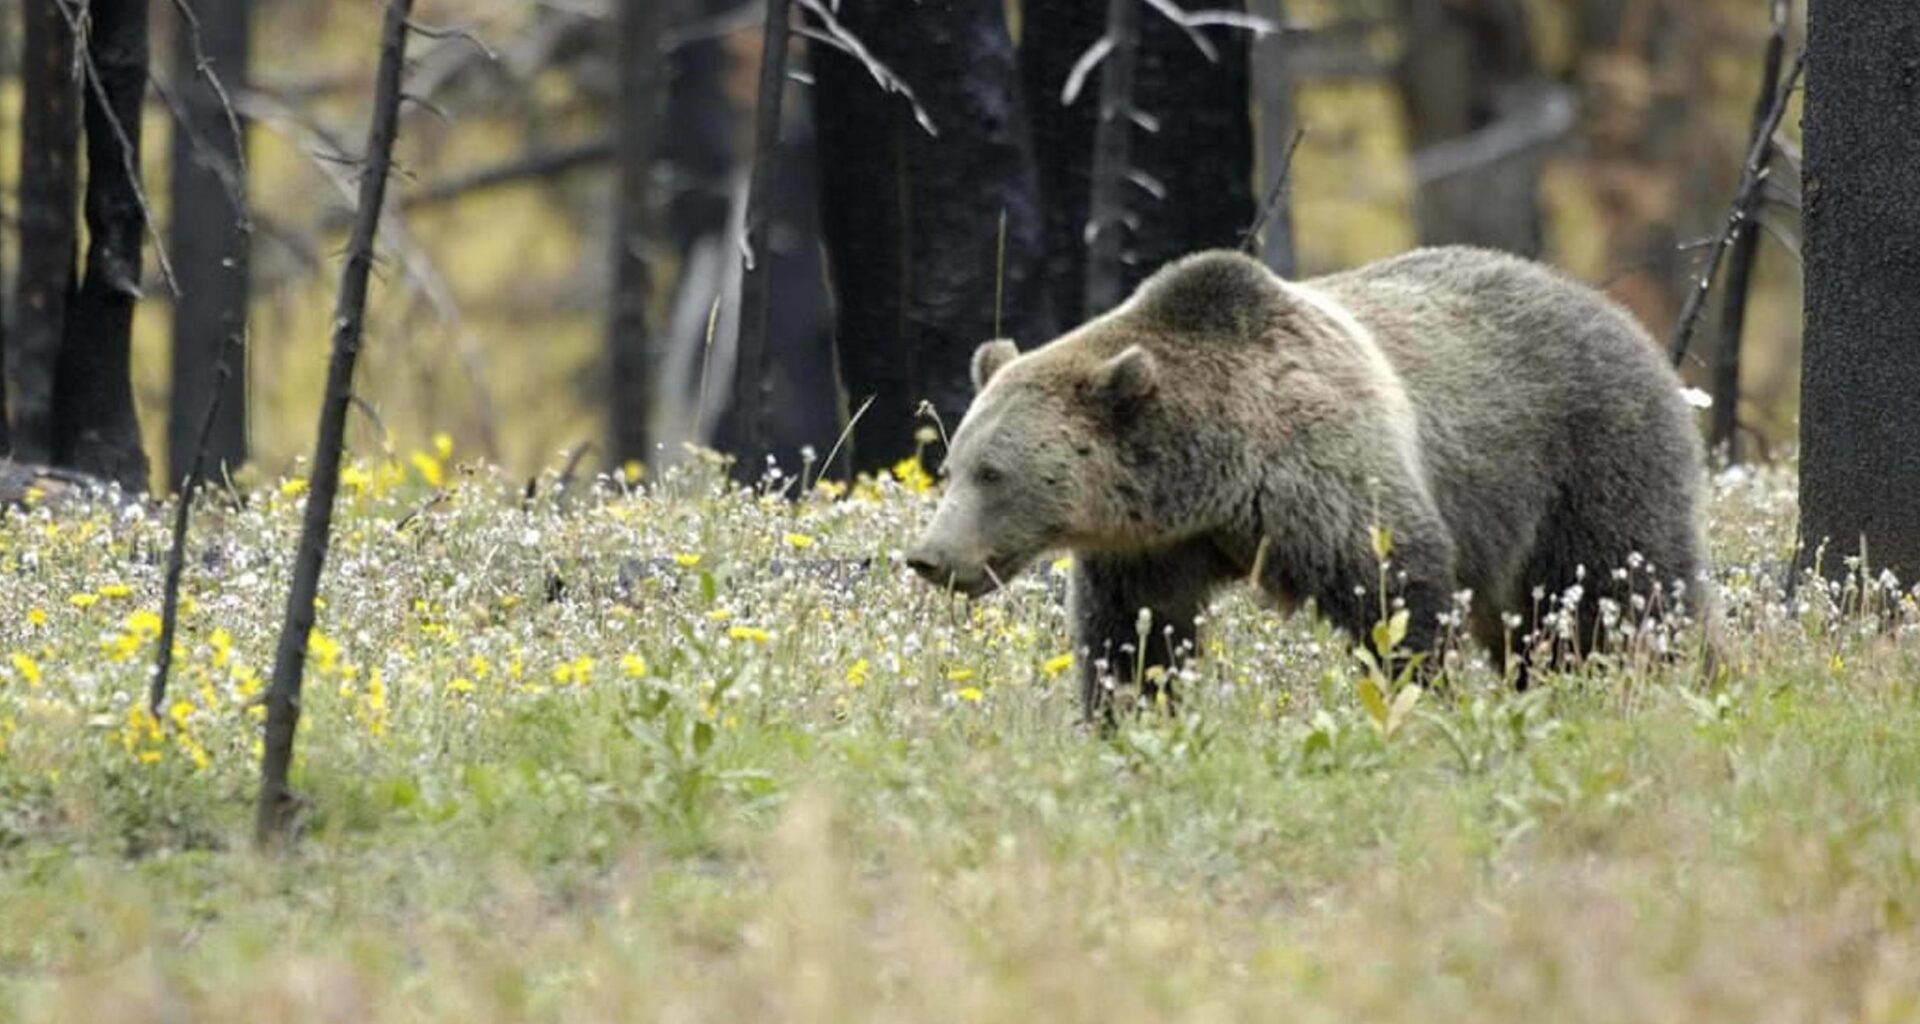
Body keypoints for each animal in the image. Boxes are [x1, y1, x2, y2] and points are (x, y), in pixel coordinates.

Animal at [904, 246, 1711, 722]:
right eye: (953, 466)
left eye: (993, 473)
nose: (929, 557)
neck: (1214, 473)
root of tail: (1620, 314)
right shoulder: (1153, 547)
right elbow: (1135, 636)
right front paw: (1129, 717)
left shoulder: (1323, 475)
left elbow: (1396, 592)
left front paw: (1421, 700)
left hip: (1587, 456)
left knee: (1625, 593)